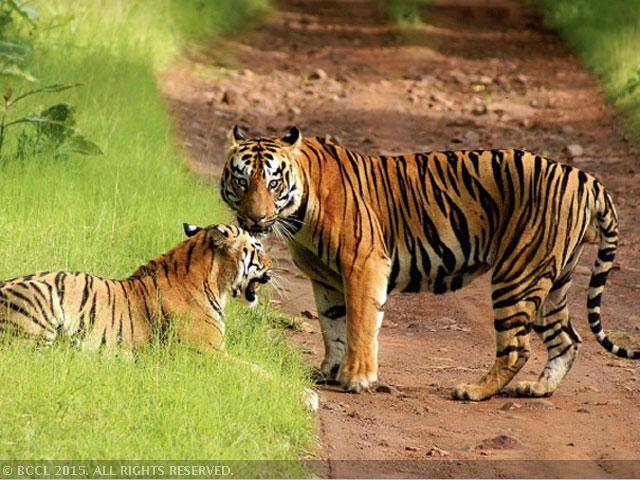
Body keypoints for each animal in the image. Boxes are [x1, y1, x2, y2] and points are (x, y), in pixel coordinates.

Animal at [220, 125, 639, 401]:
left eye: (273, 183)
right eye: (242, 181)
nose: (254, 219)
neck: (298, 214)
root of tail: (585, 177)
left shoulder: (363, 263)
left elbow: (360, 323)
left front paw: (357, 379)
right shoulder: (325, 279)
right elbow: (333, 327)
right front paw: (328, 372)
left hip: (517, 274)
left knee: (517, 347)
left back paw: (474, 390)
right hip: (553, 279)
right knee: (567, 339)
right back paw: (537, 389)